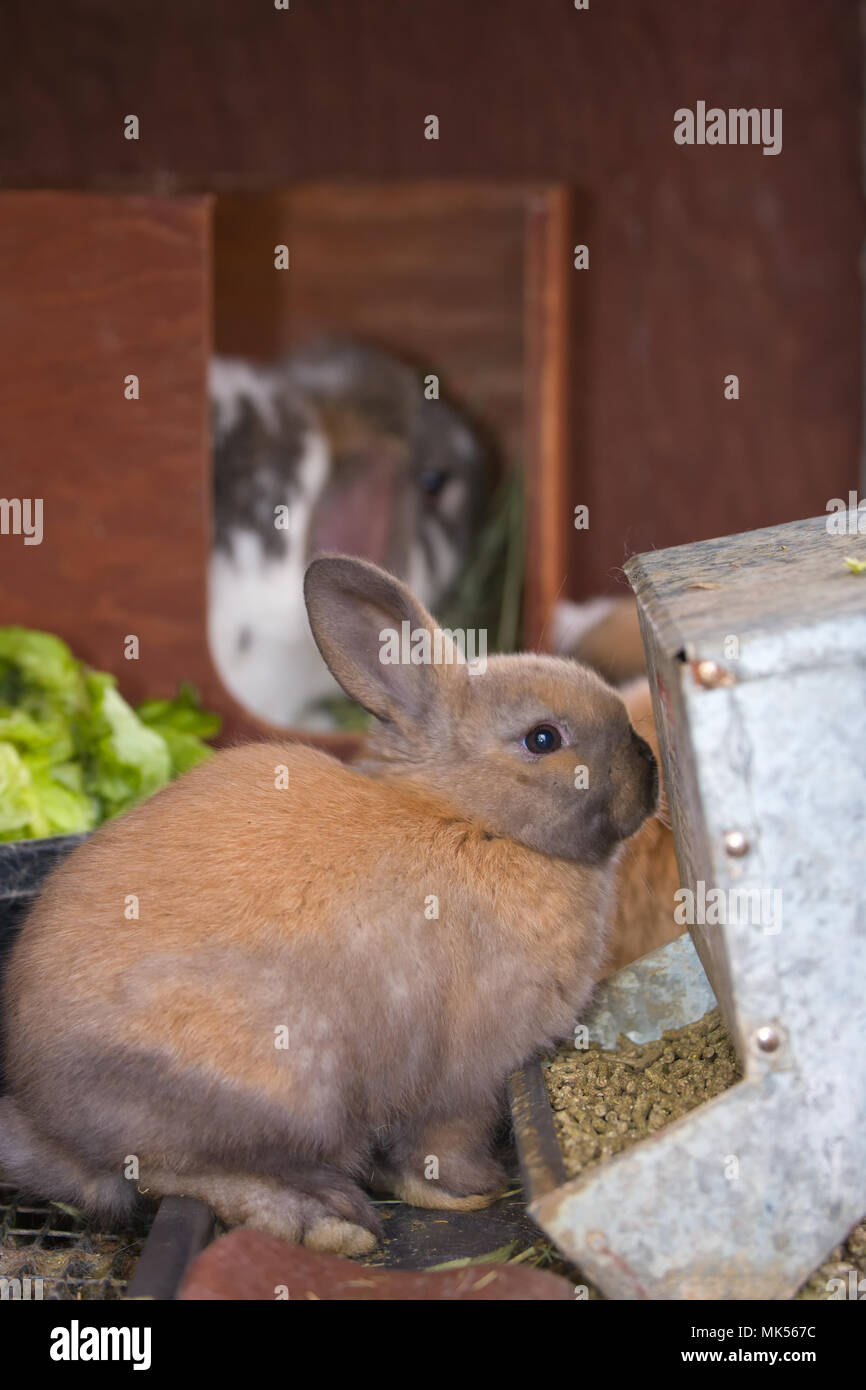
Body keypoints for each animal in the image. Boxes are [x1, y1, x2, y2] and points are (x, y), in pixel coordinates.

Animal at [0, 556, 657, 1257]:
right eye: (543, 738)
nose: (649, 767)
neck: (472, 822)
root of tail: (46, 1118)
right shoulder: (468, 1076)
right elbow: (443, 1140)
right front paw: (471, 1191)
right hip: (284, 1093)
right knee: (164, 1171)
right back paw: (326, 1220)